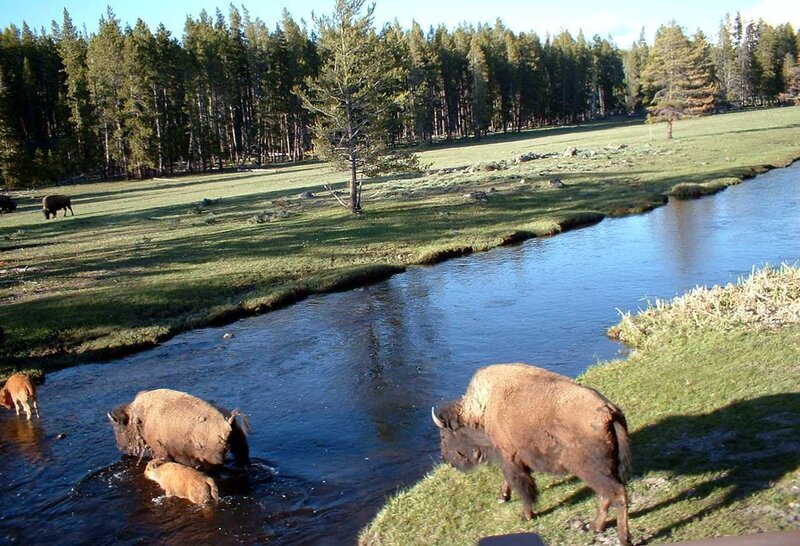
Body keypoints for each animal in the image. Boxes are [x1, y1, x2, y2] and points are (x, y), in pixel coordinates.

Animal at [108, 388, 250, 469]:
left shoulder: (160, 449)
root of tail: (228, 421)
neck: (140, 416)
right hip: (239, 444)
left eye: (119, 428)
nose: (119, 446)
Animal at [433, 363, 631, 546]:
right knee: (606, 496)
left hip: (592, 470)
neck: (483, 409)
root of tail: (608, 411)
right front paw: (503, 497)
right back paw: (595, 526)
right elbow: (511, 480)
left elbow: (522, 485)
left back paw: (623, 538)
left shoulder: (509, 456)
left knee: (617, 495)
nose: (445, 458)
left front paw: (525, 514)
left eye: (444, 435)